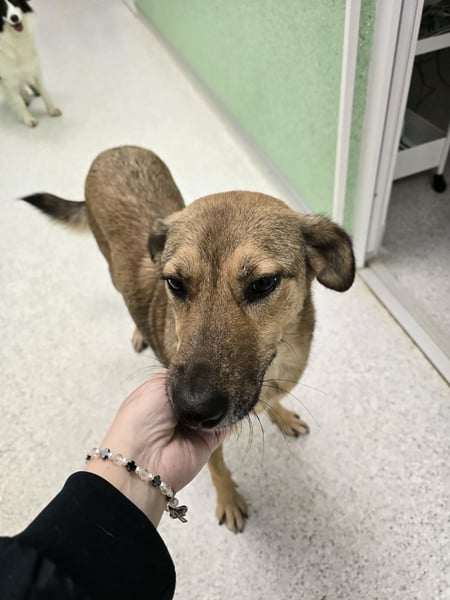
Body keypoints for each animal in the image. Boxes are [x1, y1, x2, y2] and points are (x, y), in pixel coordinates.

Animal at [22, 145, 355, 532]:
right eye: (175, 283)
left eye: (263, 283)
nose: (191, 411)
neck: (272, 366)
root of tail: (114, 150)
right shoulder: (212, 446)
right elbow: (218, 468)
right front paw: (228, 500)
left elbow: (274, 403)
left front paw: (283, 416)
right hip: (112, 268)